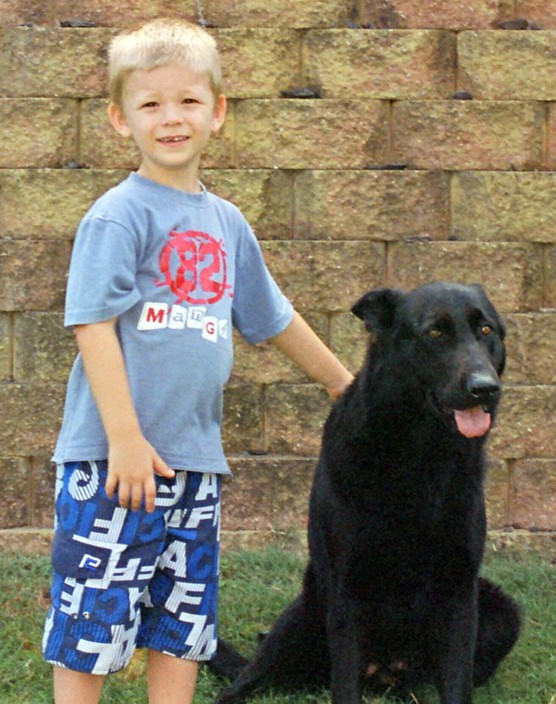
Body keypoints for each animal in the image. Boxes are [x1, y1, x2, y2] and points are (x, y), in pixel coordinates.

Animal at [214, 282, 520, 704]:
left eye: (486, 330)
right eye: (435, 333)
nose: (486, 389)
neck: (420, 459)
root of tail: (385, 673)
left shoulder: (460, 593)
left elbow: (457, 683)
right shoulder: (346, 593)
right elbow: (344, 685)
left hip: (503, 612)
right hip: (300, 618)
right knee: (243, 680)